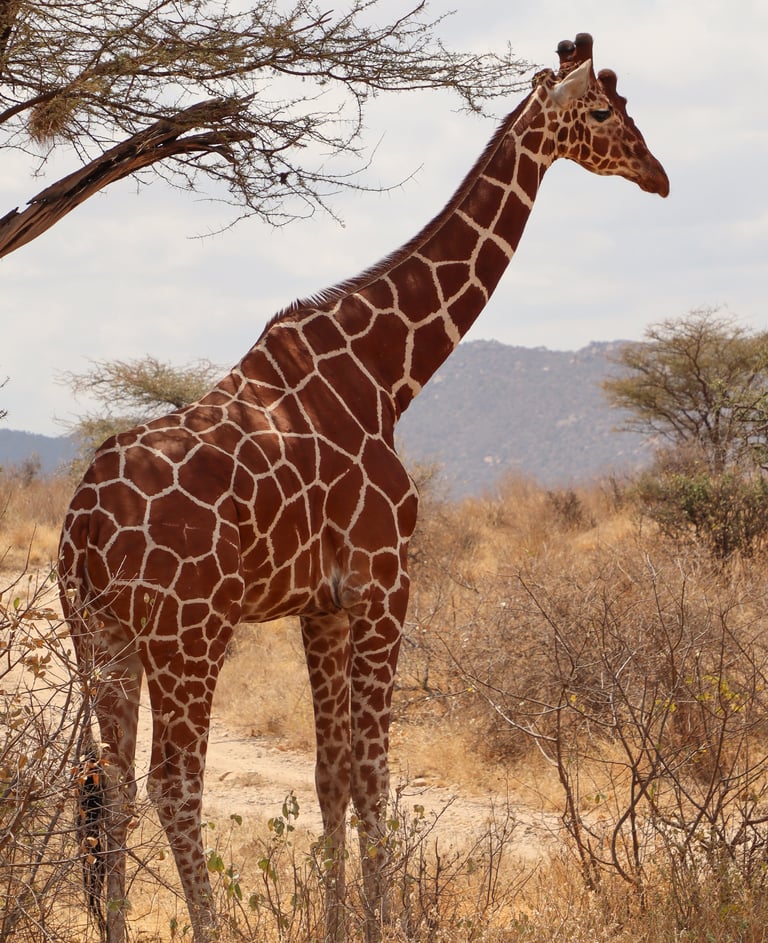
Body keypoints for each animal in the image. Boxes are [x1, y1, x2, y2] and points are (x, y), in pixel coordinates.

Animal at [59, 32, 668, 943]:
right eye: (600, 111)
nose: (657, 176)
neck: (388, 373)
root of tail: (80, 526)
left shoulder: (323, 603)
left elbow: (332, 773)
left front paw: (342, 922)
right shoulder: (386, 581)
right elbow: (377, 771)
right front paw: (383, 922)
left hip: (101, 635)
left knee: (110, 784)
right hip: (186, 635)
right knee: (172, 783)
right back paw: (207, 925)